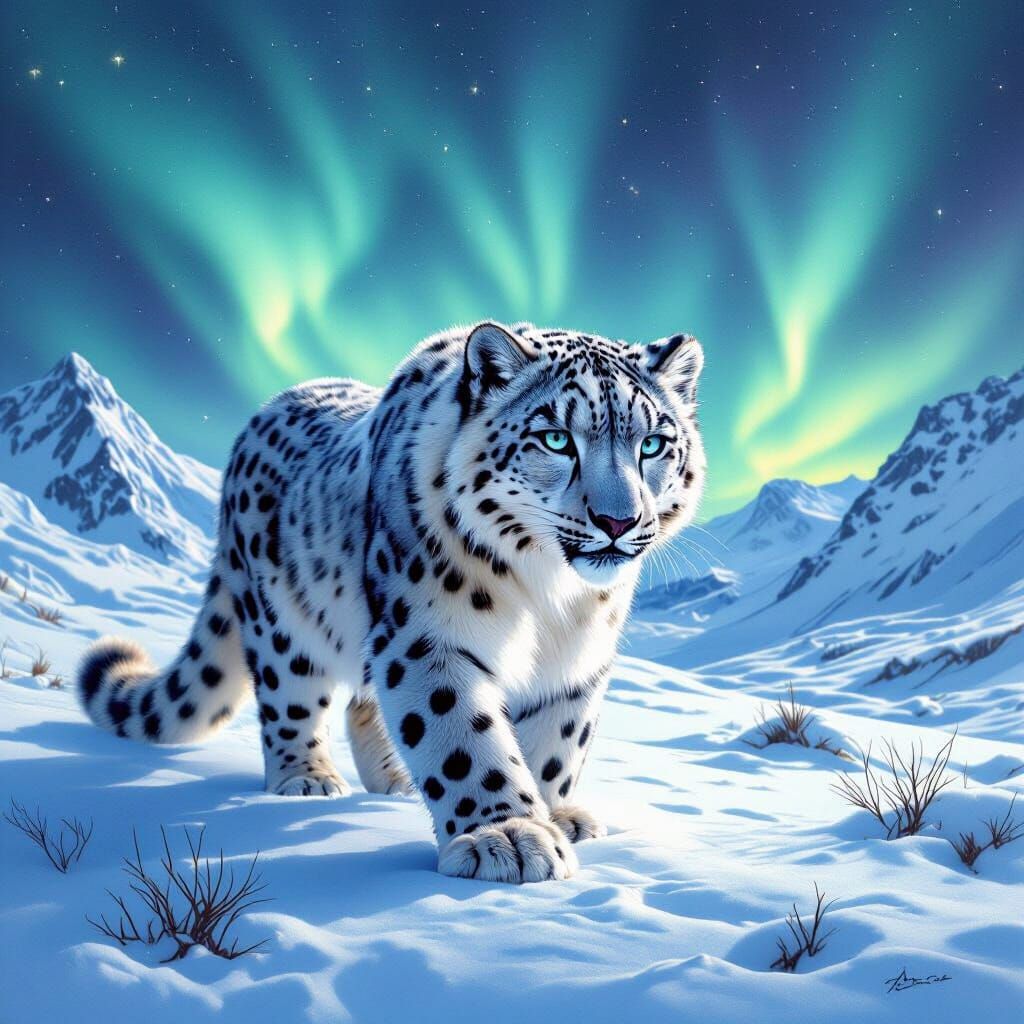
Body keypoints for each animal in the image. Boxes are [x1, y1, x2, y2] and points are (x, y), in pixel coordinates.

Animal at [76, 321, 705, 883]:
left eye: (652, 444)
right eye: (556, 439)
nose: (619, 521)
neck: (551, 595)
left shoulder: (578, 660)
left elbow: (557, 743)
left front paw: (556, 814)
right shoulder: (430, 635)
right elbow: (461, 736)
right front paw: (507, 836)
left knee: (363, 701)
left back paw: (395, 782)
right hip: (283, 623)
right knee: (290, 698)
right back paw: (306, 778)